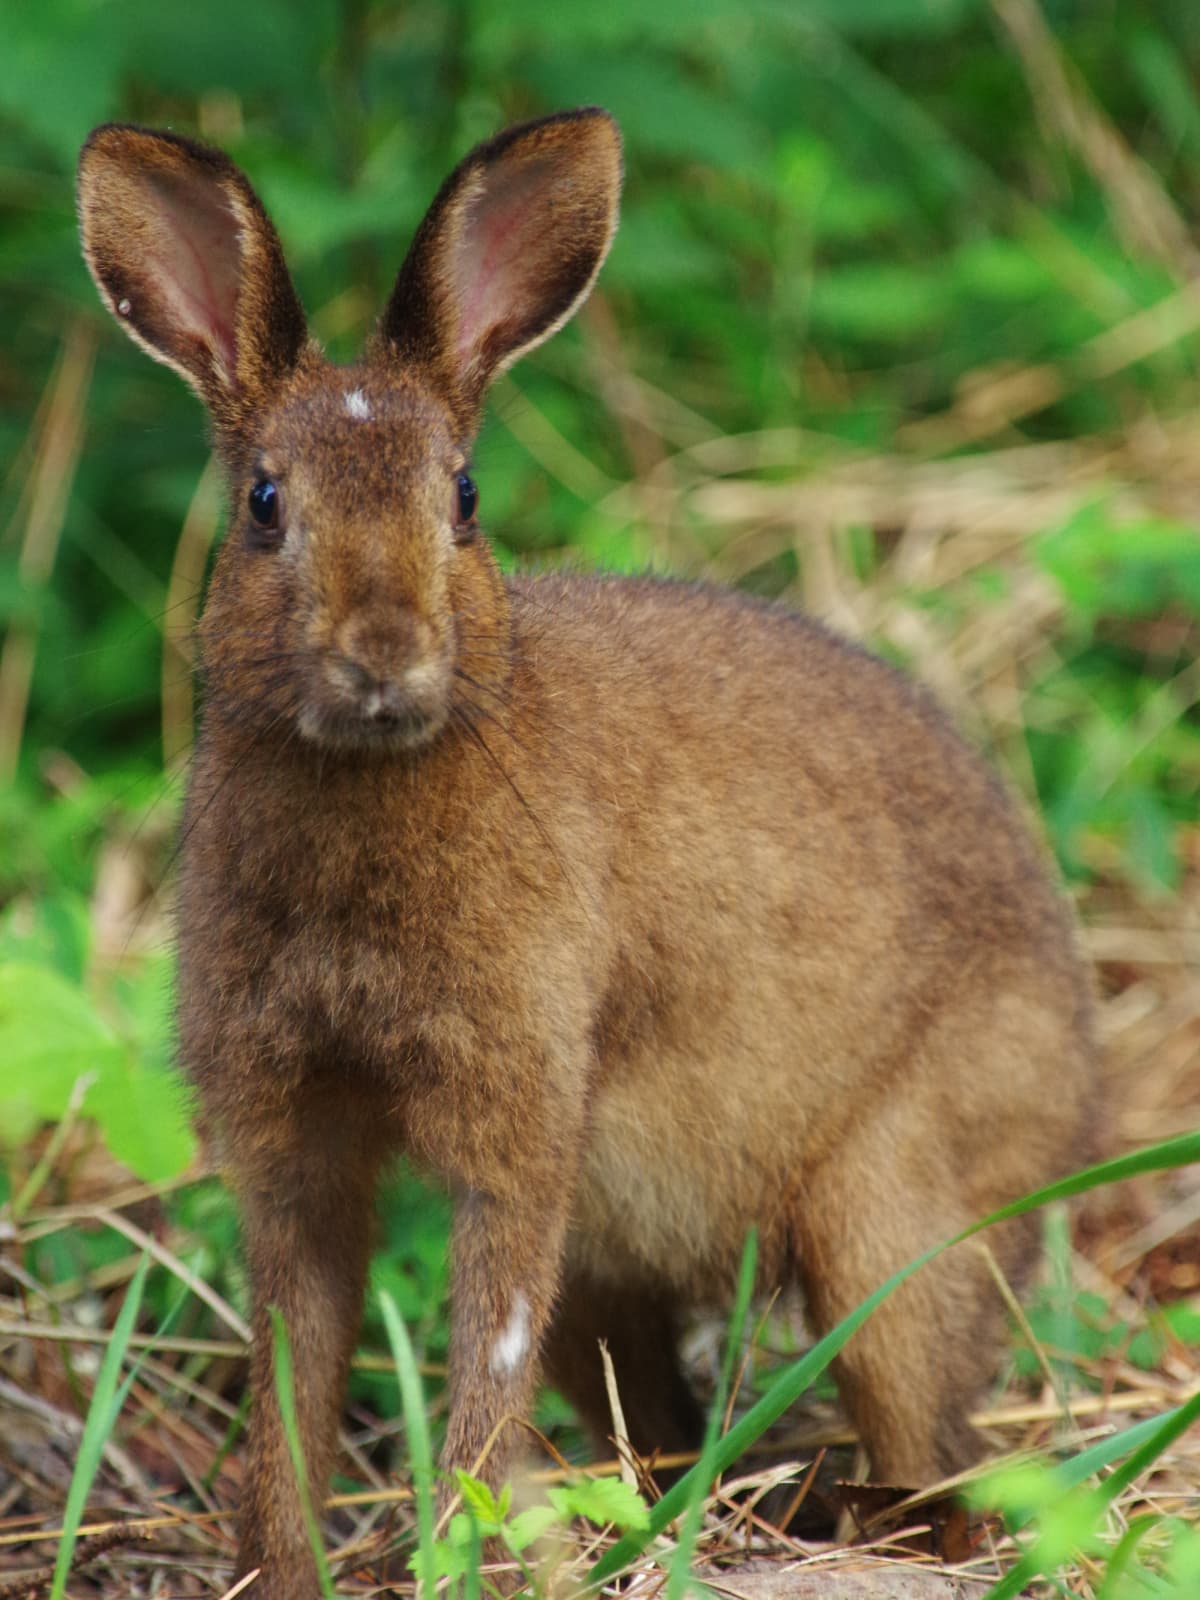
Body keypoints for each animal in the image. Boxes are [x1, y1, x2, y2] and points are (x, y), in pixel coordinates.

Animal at [80, 106, 1107, 1593]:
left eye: (462, 496)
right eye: (266, 501)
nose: (384, 652)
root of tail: (1082, 1087)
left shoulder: (515, 1117)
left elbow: (483, 1357)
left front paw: (463, 1547)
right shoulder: (293, 1144)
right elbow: (293, 1375)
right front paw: (282, 1568)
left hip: (886, 1224)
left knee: (936, 1433)